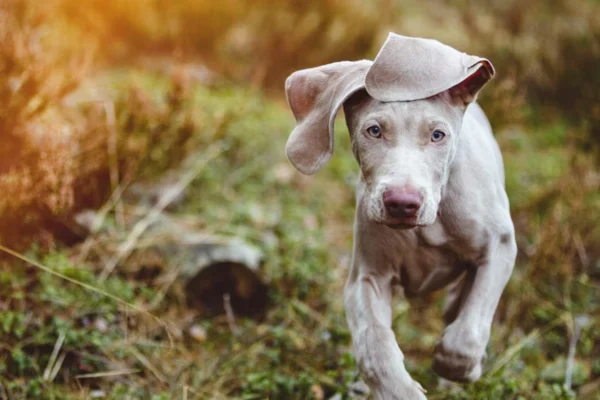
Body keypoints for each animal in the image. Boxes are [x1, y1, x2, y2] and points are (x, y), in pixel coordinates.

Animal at [284, 32, 516, 398]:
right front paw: (399, 389)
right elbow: (374, 345)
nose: (402, 203)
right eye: (374, 131)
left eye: (438, 135)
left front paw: (459, 365)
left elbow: (466, 334)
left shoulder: (501, 246)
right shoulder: (368, 277)